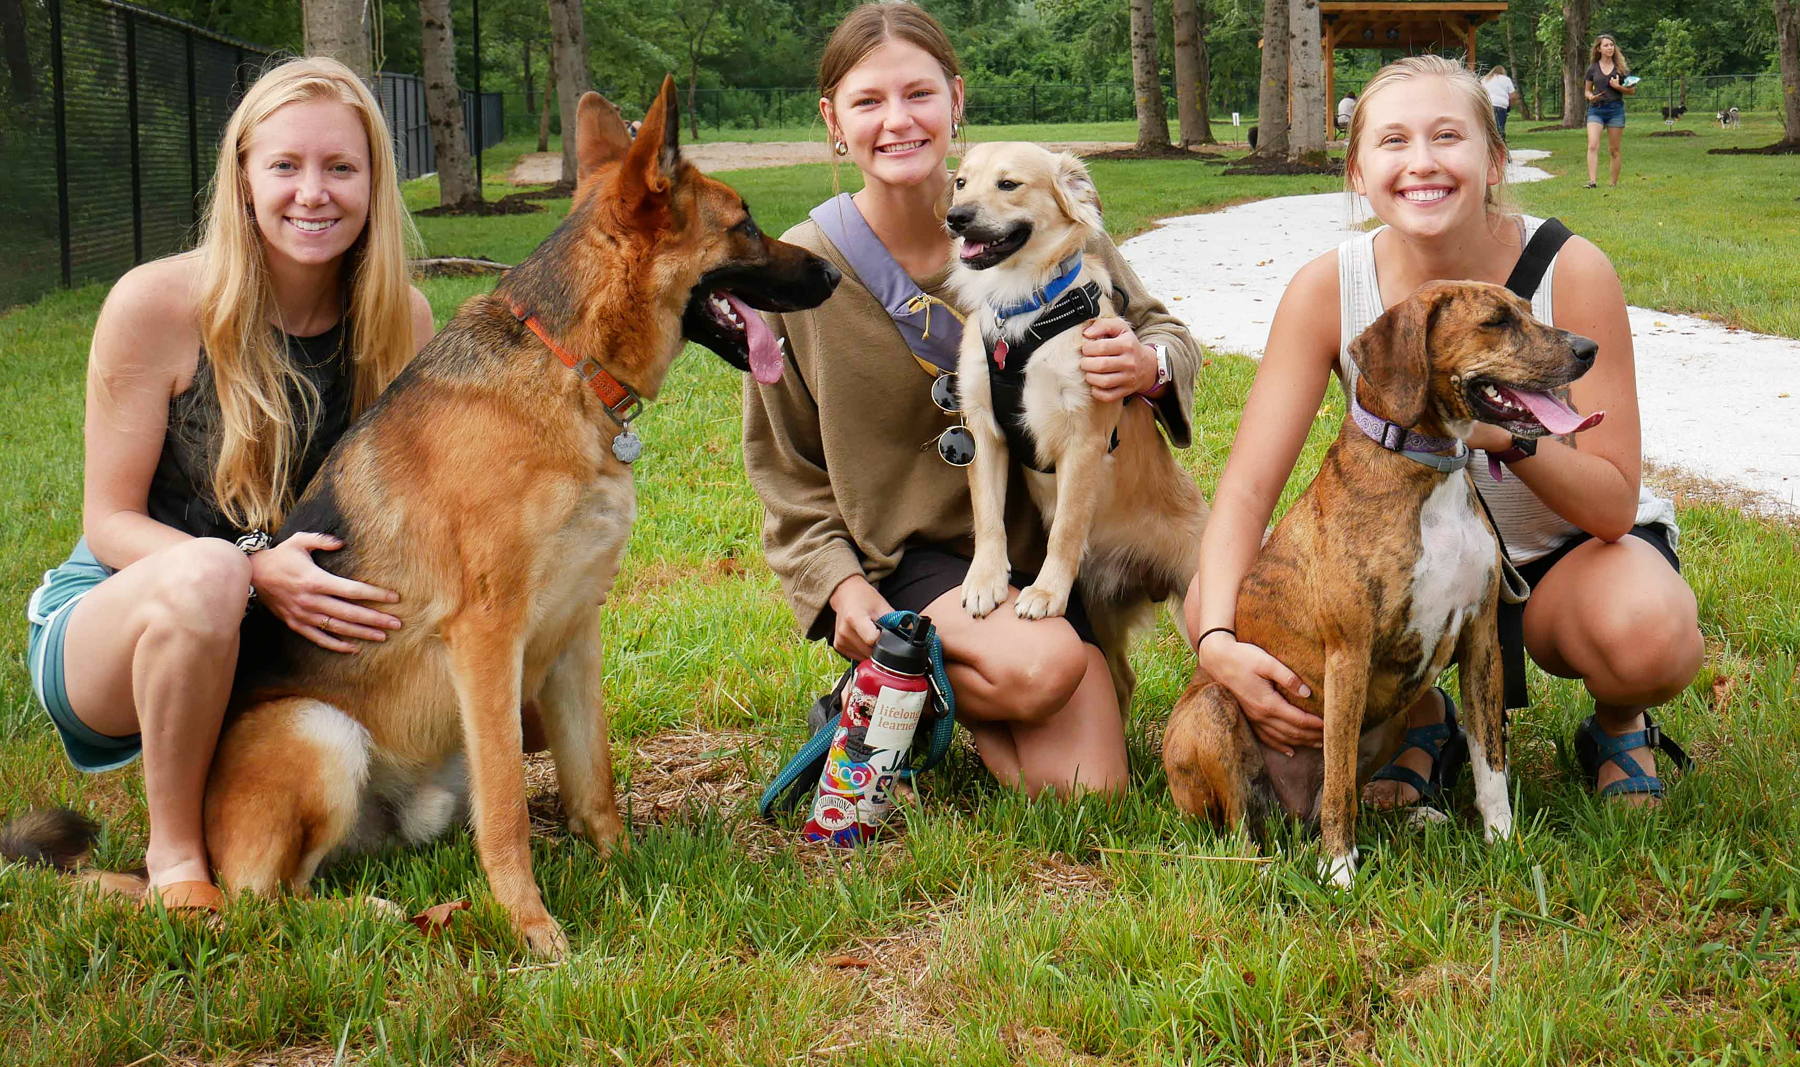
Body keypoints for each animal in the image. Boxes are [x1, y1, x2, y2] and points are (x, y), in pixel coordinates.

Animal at [7, 76, 838, 957]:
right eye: (743, 223)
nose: (832, 273)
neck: (565, 362)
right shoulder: (489, 636)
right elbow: (506, 811)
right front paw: (532, 927)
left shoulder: (575, 634)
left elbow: (595, 777)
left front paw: (620, 867)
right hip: (319, 734)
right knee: (261, 900)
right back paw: (362, 912)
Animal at [943, 139, 1209, 683]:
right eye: (960, 182)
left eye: (1008, 184)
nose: (955, 218)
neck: (1024, 311)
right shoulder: (984, 431)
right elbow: (988, 515)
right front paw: (984, 580)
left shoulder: (1083, 440)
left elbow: (1066, 527)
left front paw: (1045, 591)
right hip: (1102, 616)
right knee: (1124, 679)